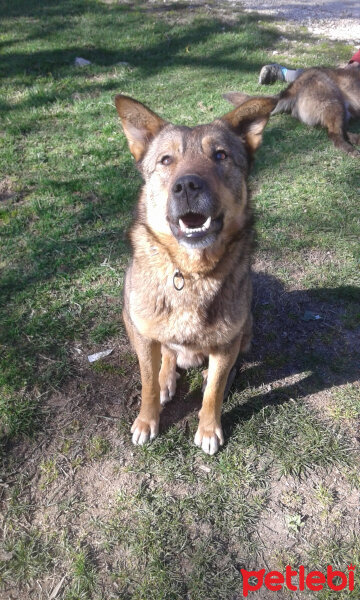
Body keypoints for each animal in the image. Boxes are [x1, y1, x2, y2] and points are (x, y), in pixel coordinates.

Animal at [115, 94, 276, 452]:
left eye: (220, 155)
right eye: (165, 160)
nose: (187, 185)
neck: (190, 273)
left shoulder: (227, 341)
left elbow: (214, 391)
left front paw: (209, 429)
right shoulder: (141, 333)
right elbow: (147, 381)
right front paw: (147, 420)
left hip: (246, 327)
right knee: (167, 357)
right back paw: (167, 378)